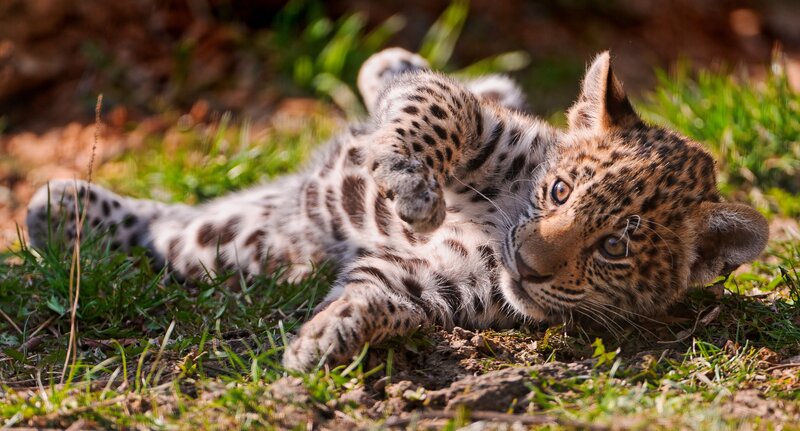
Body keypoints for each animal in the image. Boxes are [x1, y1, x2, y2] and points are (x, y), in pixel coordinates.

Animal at [25, 48, 769, 371]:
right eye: (561, 191)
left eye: (616, 246)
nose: (527, 264)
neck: (500, 225)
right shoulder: (484, 126)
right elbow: (437, 106)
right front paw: (412, 189)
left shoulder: (436, 283)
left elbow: (377, 294)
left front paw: (327, 336)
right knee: (406, 74)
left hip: (234, 239)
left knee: (167, 229)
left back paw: (60, 209)